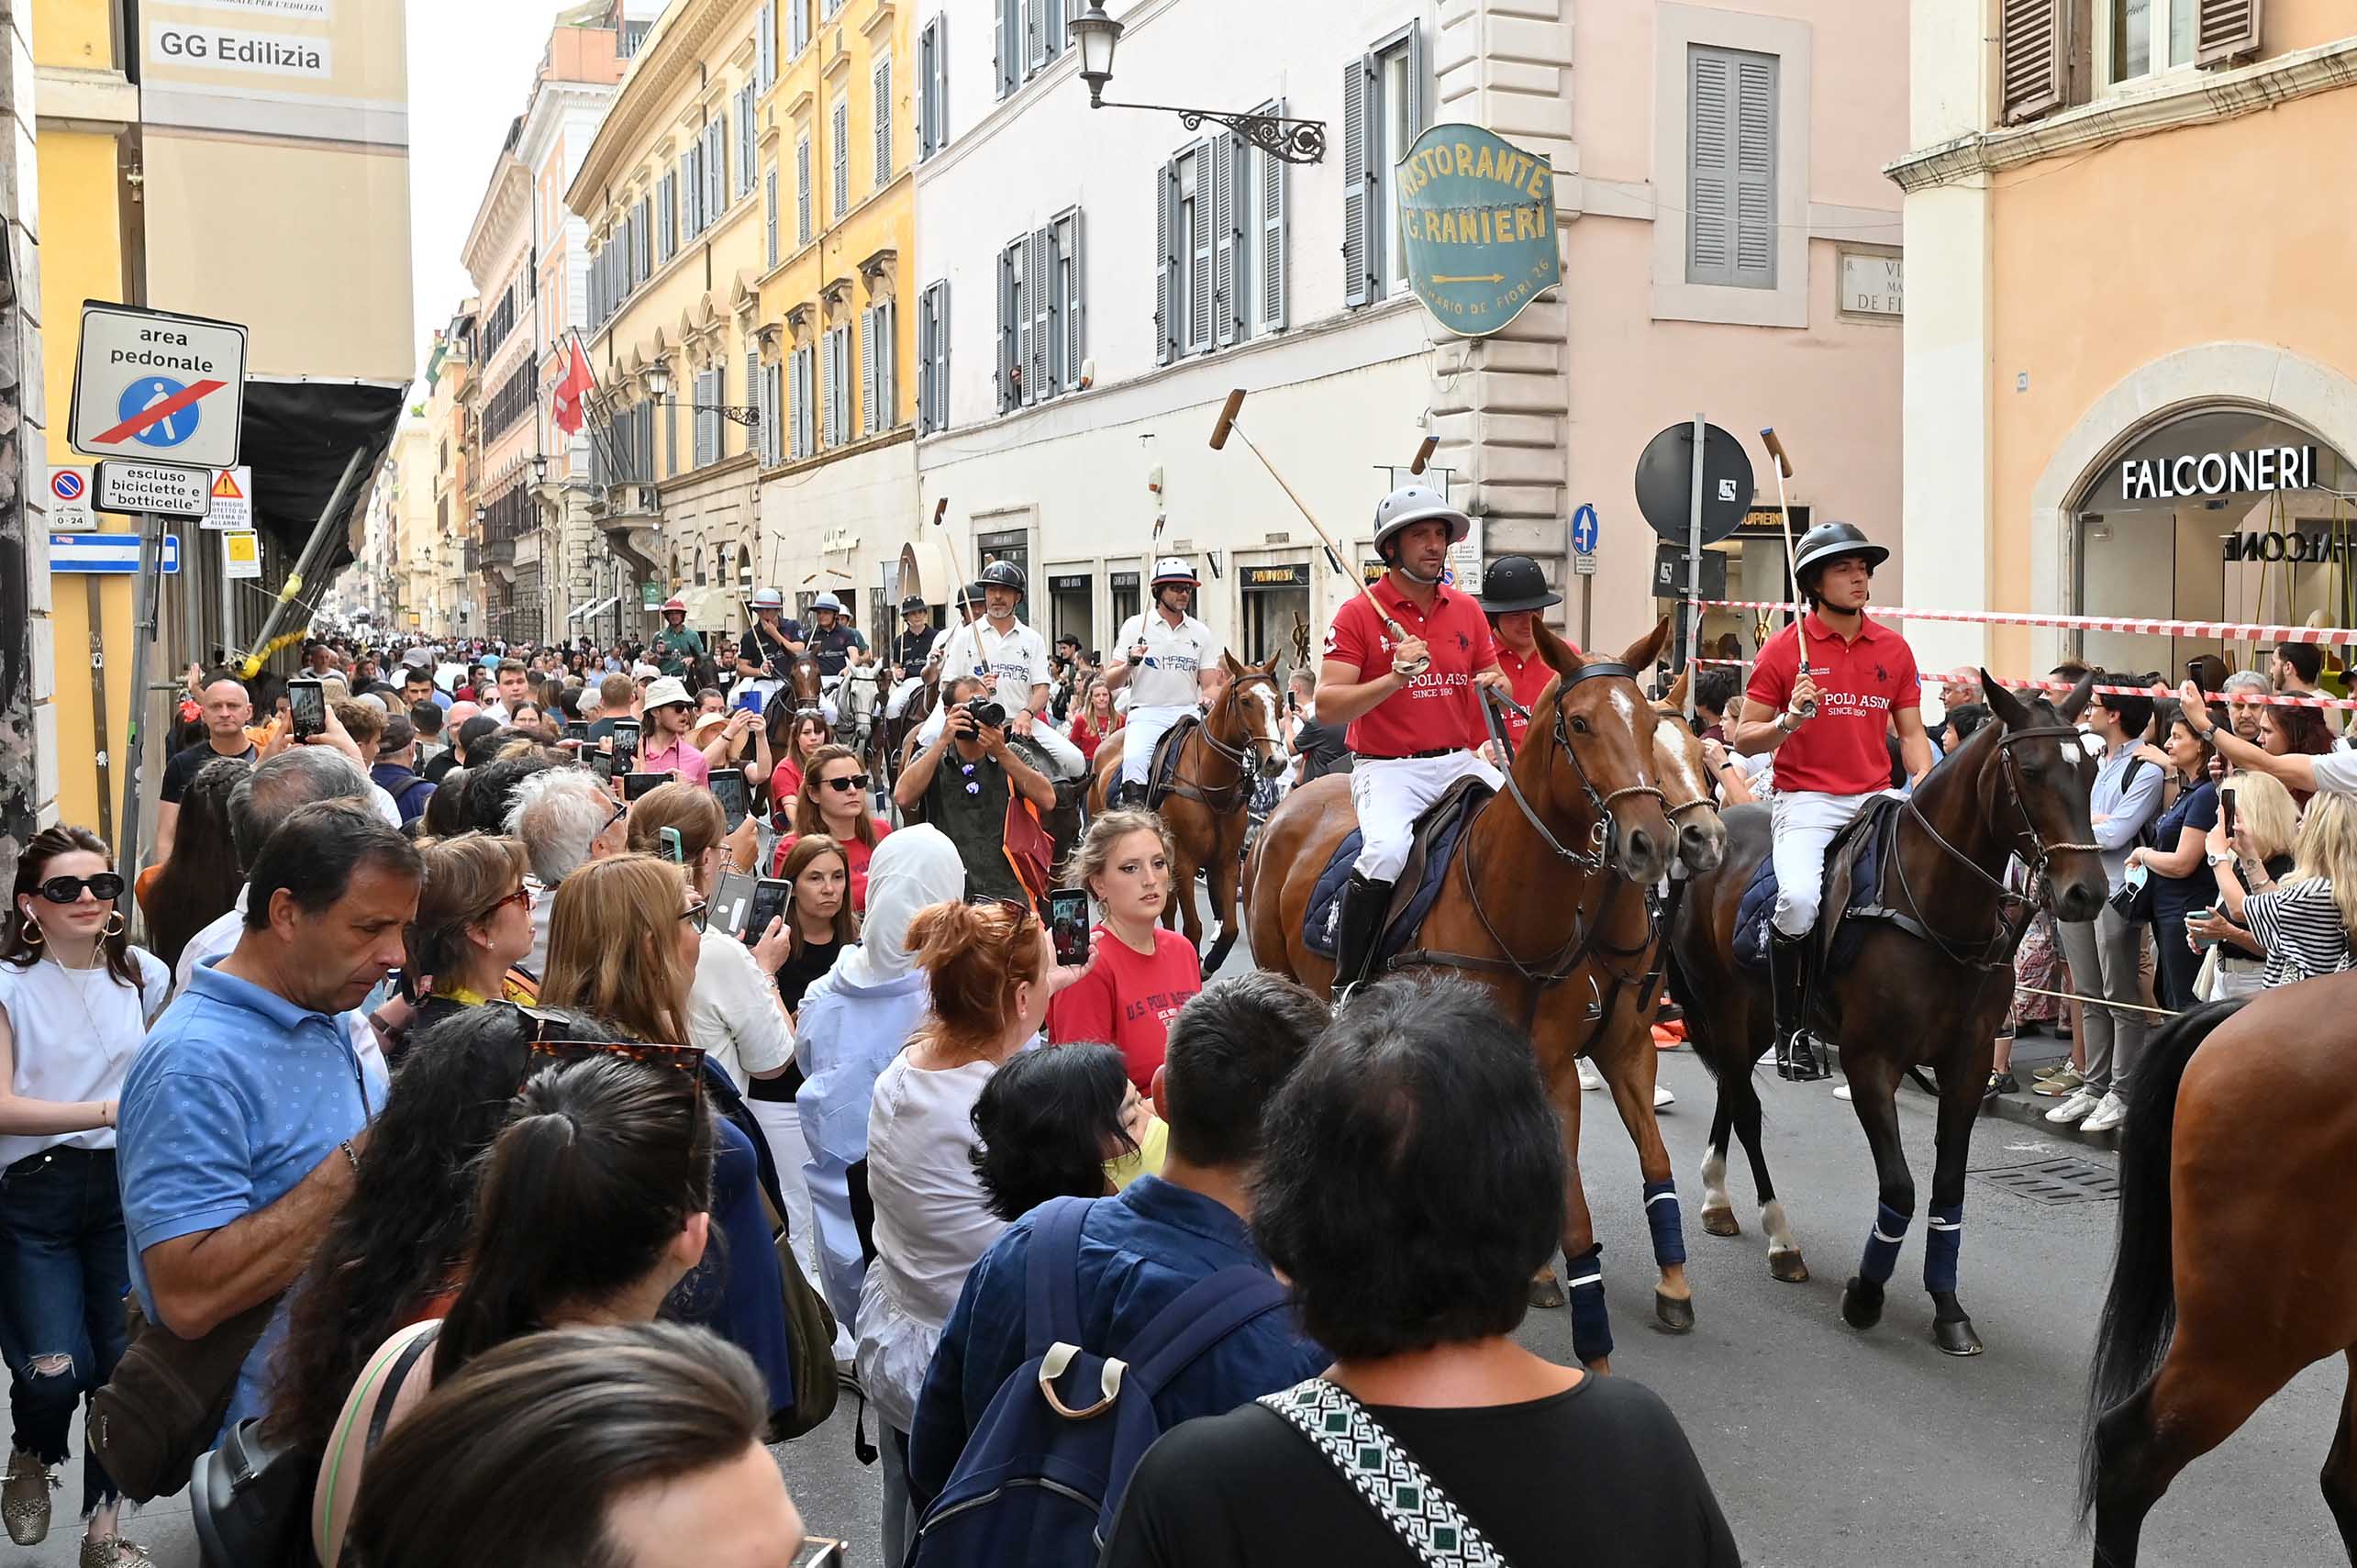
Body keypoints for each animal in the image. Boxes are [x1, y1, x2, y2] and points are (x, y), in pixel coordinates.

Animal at [1088, 646, 1291, 966]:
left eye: (1279, 701)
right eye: (1245, 701)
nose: (1277, 761)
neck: (1210, 783)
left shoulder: (1225, 861)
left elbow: (1230, 929)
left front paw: (1208, 963)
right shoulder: (1184, 862)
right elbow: (1193, 928)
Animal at [1244, 617, 1687, 1367]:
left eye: (1650, 722)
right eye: (1579, 722)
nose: (1651, 842)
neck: (1511, 906)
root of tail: (1292, 802)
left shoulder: (1567, 1064)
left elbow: (1597, 1199)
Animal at [1668, 673, 2111, 1358]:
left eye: (2089, 768)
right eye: (2032, 771)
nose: (2086, 892)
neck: (1937, 909)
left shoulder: (1967, 1063)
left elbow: (1948, 1187)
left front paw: (1948, 1306)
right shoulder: (1870, 1062)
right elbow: (1900, 1186)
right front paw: (1866, 1294)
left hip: (1751, 1013)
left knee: (1732, 1095)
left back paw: (1718, 1197)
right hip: (1720, 1002)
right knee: (1744, 1107)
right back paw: (1779, 1237)